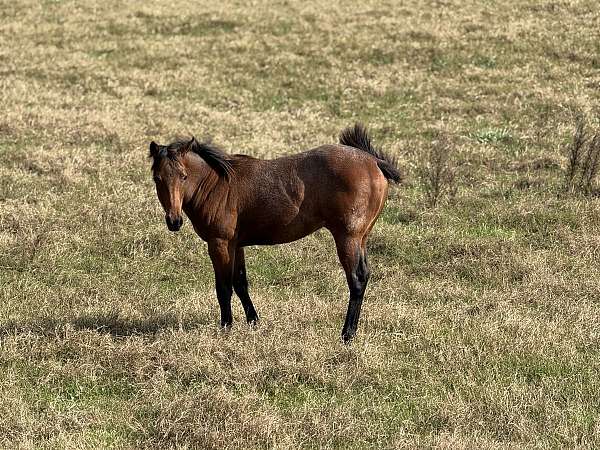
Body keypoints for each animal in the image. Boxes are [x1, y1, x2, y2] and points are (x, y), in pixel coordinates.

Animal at [148, 123, 400, 342]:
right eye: (157, 178)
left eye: (183, 176)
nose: (174, 221)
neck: (217, 183)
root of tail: (374, 161)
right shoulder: (236, 244)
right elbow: (240, 283)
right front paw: (253, 322)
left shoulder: (219, 243)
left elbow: (224, 288)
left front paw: (226, 328)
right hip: (361, 238)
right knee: (364, 275)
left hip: (348, 238)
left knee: (356, 280)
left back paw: (347, 334)